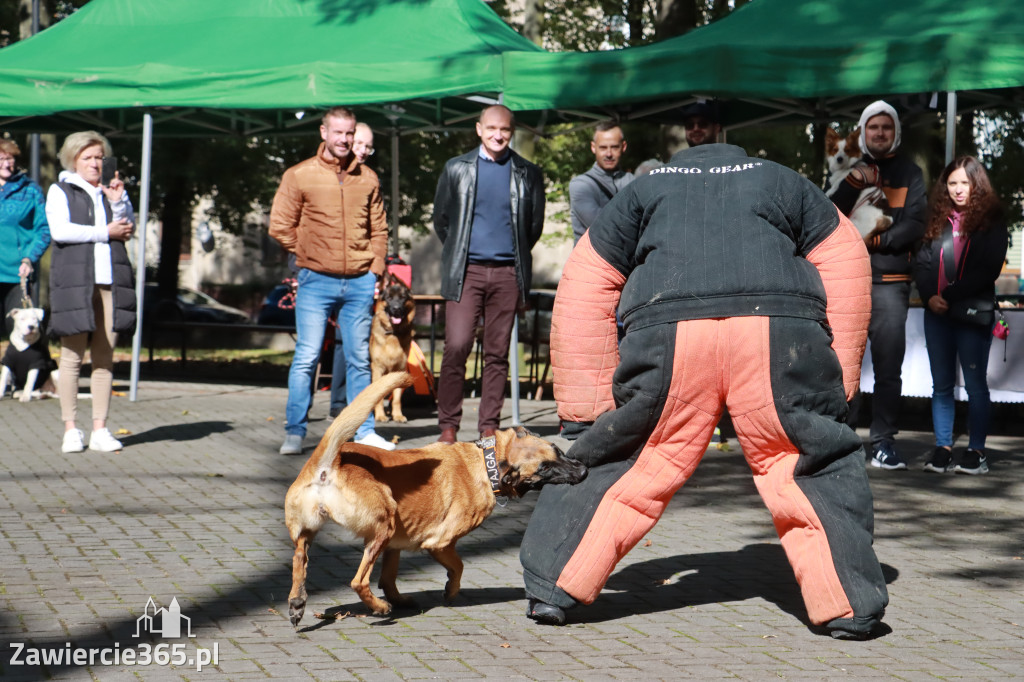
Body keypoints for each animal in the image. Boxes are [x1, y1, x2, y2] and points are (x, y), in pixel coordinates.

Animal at [284, 368, 589, 622]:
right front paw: (450, 591)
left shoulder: (394, 545)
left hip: (311, 532)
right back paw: (379, 608)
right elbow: (459, 567)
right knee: (358, 581)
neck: (485, 463)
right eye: (544, 469)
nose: (584, 470)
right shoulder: (439, 543)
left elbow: (389, 578)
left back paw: (298, 603)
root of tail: (328, 464)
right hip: (384, 525)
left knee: (299, 559)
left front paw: (400, 598)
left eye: (557, 450)